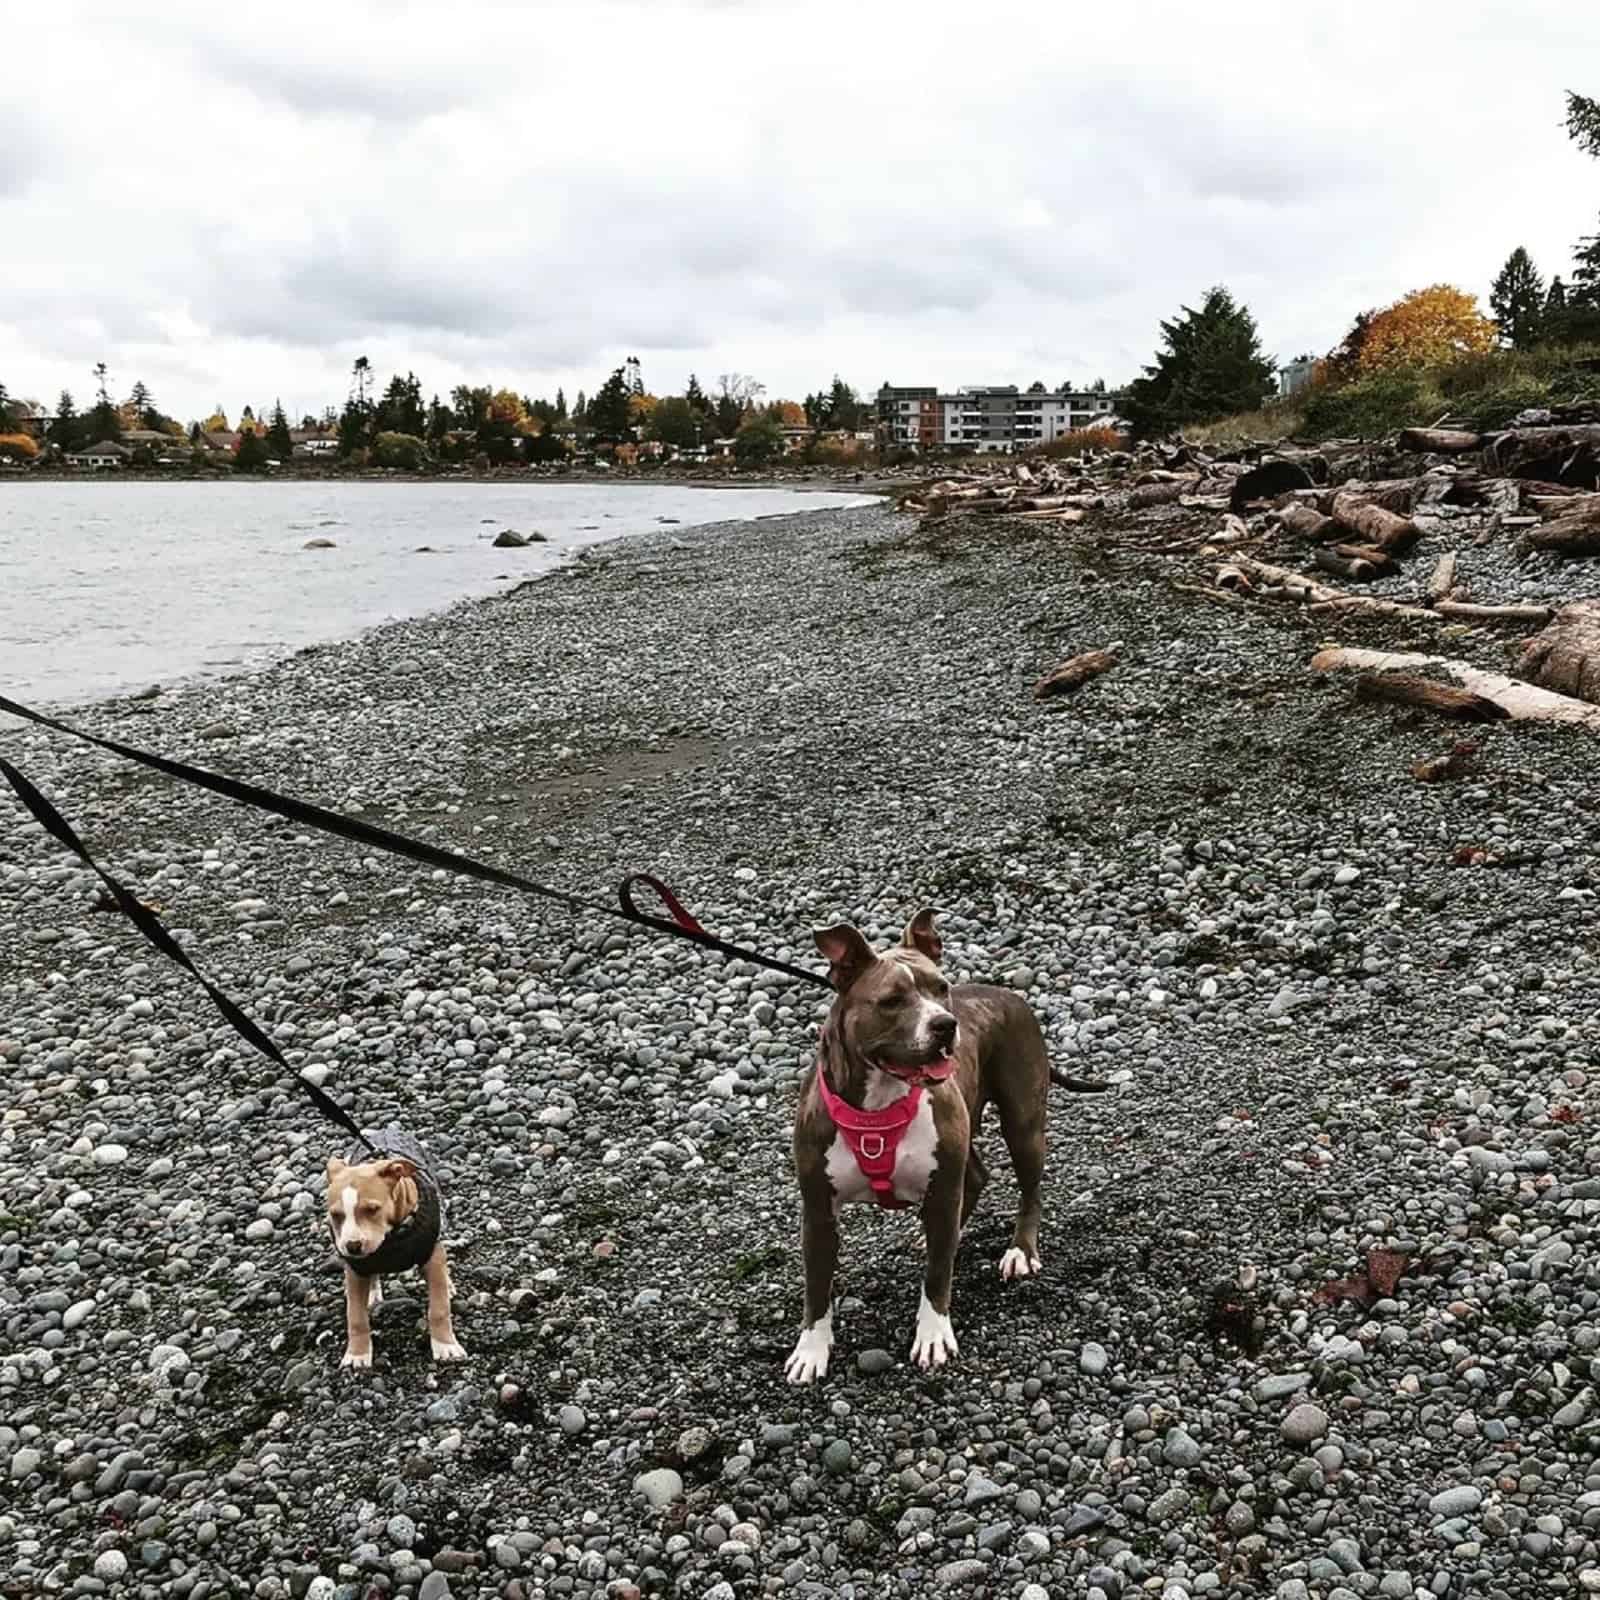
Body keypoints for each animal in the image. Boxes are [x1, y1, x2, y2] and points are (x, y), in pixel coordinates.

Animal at [321, 1132, 467, 1369]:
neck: (392, 1238)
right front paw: (357, 1355)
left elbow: (439, 1308)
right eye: (335, 1215)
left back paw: (448, 1285)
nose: (352, 1246)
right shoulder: (355, 1269)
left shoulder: (431, 1254)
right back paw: (372, 1293)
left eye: (372, 1209)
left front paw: (446, 1347)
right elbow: (356, 1318)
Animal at [784, 908, 1100, 1382]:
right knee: (974, 1180)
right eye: (892, 1000)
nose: (945, 1025)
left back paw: (1020, 1251)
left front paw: (933, 1336)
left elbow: (936, 1276)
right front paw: (811, 1350)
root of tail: (1008, 994)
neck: (880, 1104)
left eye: (940, 988)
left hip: (1023, 1123)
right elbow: (817, 1288)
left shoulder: (943, 1185)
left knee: (1029, 1189)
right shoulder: (818, 1211)